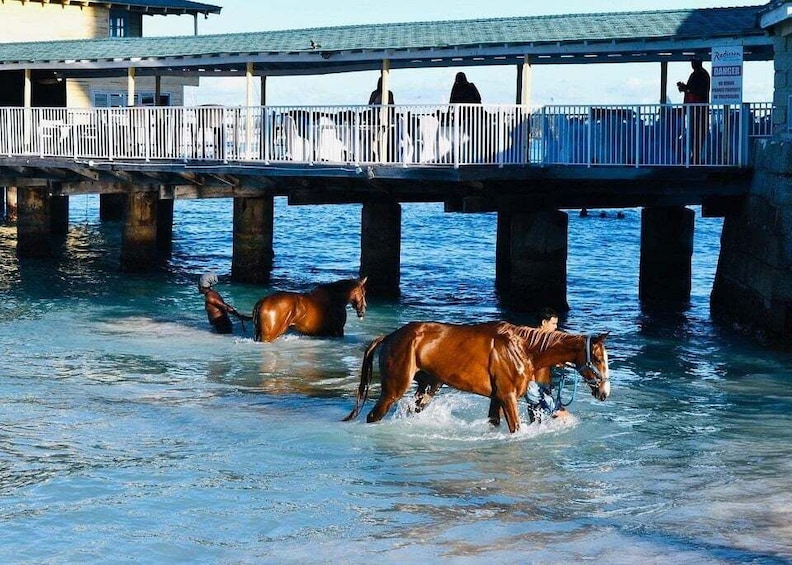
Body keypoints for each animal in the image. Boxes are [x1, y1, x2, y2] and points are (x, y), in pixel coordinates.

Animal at [343, 321, 610, 433]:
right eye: (598, 358)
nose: (604, 392)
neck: (524, 349)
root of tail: (389, 337)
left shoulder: (497, 398)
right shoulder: (507, 397)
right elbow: (516, 428)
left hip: (428, 387)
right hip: (394, 389)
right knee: (373, 416)